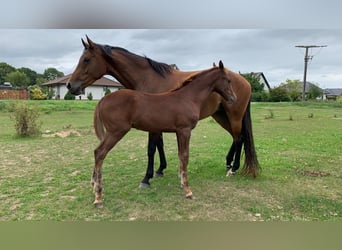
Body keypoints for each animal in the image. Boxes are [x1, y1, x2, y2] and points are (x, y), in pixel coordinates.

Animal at [66, 36, 260, 187]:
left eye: (86, 59)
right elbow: (159, 145)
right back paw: (228, 164)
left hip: (234, 115)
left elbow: (152, 148)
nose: (70, 85)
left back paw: (234, 168)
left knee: (239, 137)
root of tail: (245, 81)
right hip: (220, 115)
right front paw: (160, 170)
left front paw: (147, 177)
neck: (148, 77)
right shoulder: (157, 122)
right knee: (236, 137)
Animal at [90, 61, 235, 206]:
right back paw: (98, 197)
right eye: (228, 80)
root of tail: (103, 100)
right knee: (100, 153)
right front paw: (188, 191)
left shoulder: (178, 132)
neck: (188, 97)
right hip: (116, 132)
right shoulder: (185, 130)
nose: (234, 98)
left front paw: (182, 183)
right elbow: (185, 156)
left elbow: (180, 155)